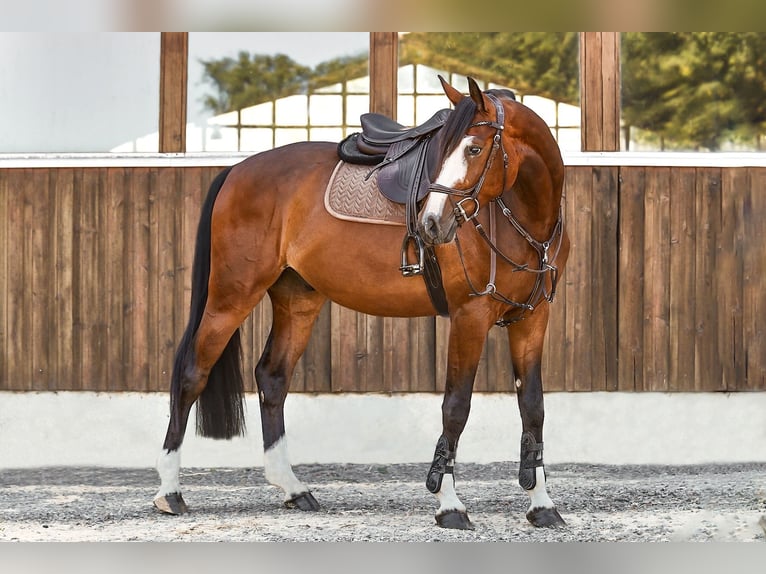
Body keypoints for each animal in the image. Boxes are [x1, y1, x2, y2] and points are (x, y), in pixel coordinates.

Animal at [153, 75, 569, 530]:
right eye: (446, 148)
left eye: (474, 149)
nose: (431, 224)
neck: (524, 220)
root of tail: (237, 170)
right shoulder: (468, 317)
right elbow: (456, 407)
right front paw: (449, 506)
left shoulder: (533, 318)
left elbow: (533, 408)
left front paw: (542, 505)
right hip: (232, 295)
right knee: (192, 374)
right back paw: (169, 492)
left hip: (297, 300)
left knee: (273, 378)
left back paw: (293, 488)